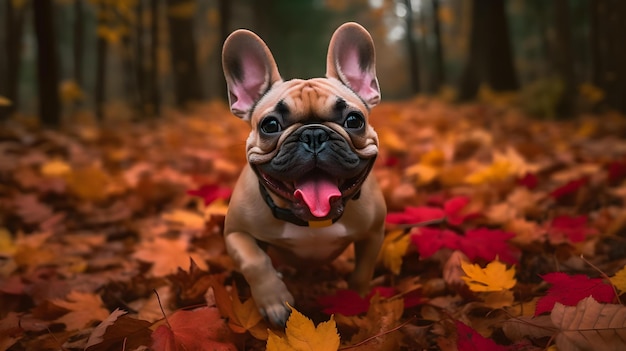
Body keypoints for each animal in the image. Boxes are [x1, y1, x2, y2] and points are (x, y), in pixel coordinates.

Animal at [219, 22, 386, 326]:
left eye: (354, 120)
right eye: (270, 125)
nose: (314, 134)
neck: (312, 219)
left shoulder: (373, 234)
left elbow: (362, 272)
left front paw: (355, 301)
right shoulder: (236, 233)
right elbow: (255, 261)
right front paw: (275, 301)